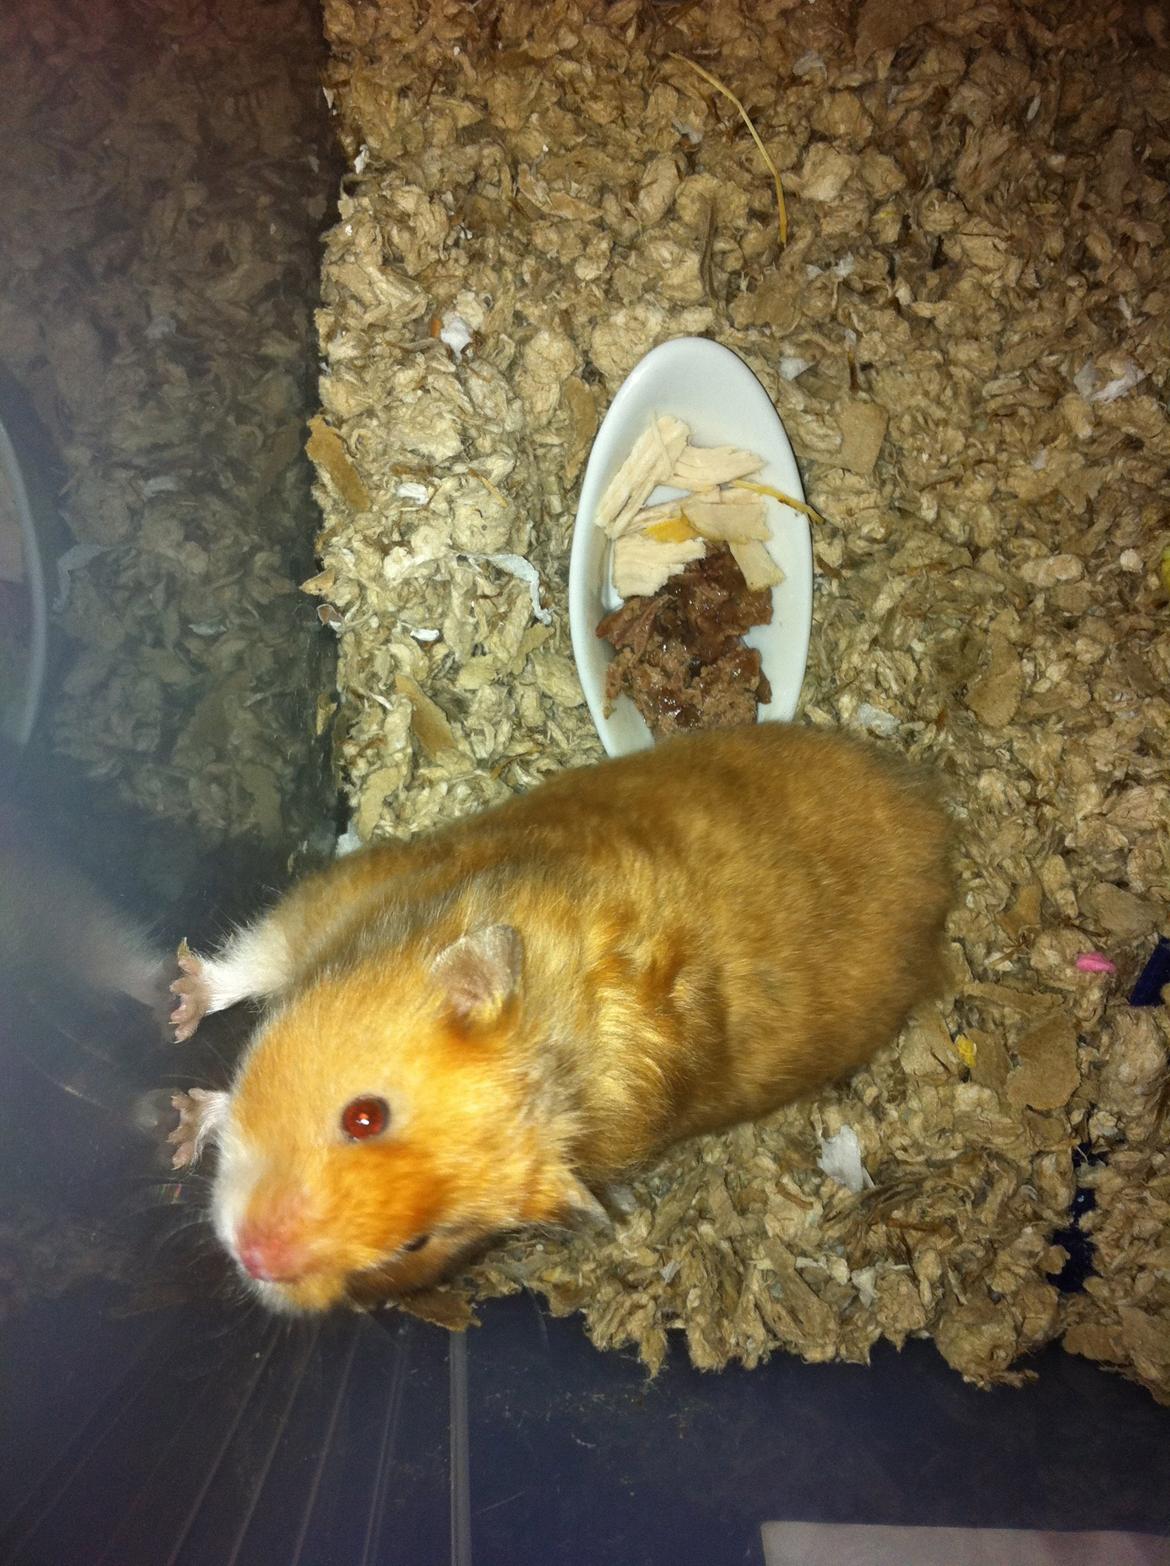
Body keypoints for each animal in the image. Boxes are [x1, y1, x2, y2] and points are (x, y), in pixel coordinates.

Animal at [169, 723, 955, 1315]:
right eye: (366, 1116)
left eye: (418, 1245)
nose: (256, 1259)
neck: (556, 1045)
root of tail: (933, 818)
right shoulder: (334, 901)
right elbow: (250, 966)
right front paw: (179, 1031)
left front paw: (182, 1122)